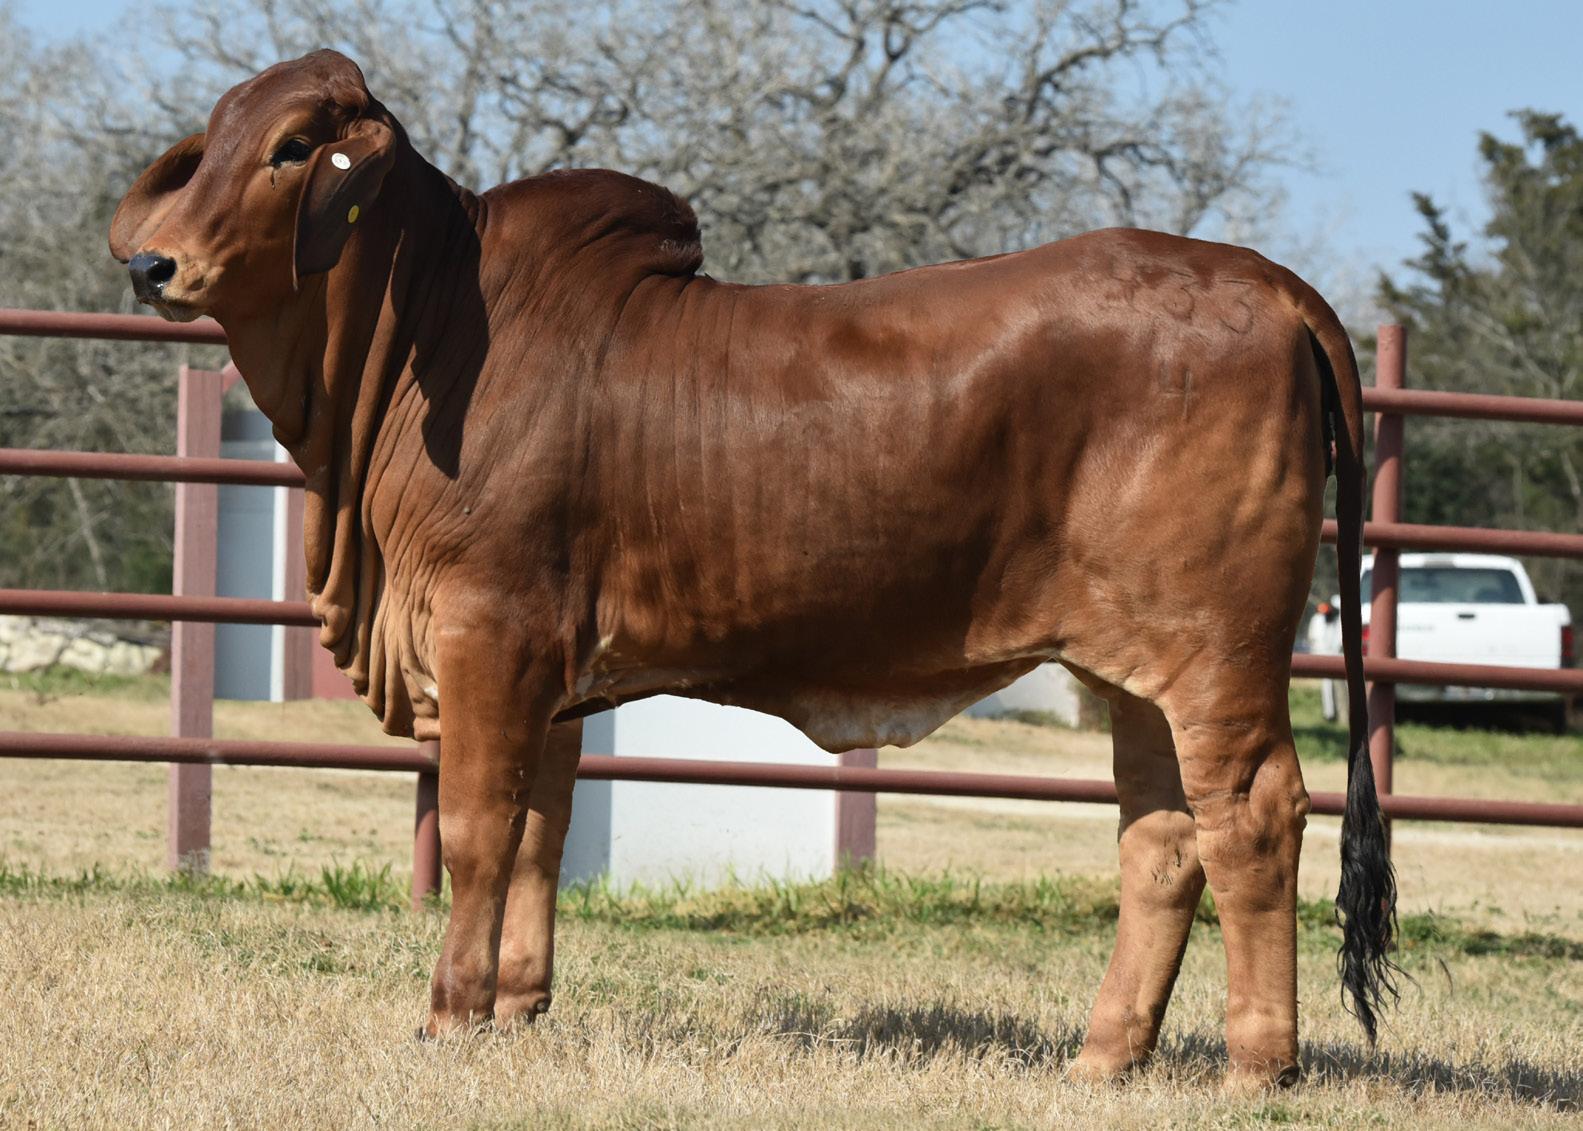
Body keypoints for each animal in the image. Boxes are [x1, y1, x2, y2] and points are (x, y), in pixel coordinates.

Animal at [111, 50, 1396, 1090]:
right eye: (212, 139)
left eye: (291, 149)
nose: (154, 267)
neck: (433, 332)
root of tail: (1267, 283)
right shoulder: (551, 676)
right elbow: (542, 830)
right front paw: (517, 1007)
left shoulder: (489, 632)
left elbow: (479, 826)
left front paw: (449, 1014)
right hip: (1129, 671)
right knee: (1160, 839)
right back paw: (1100, 1058)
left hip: (1216, 655)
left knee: (1251, 818)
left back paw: (1255, 1066)